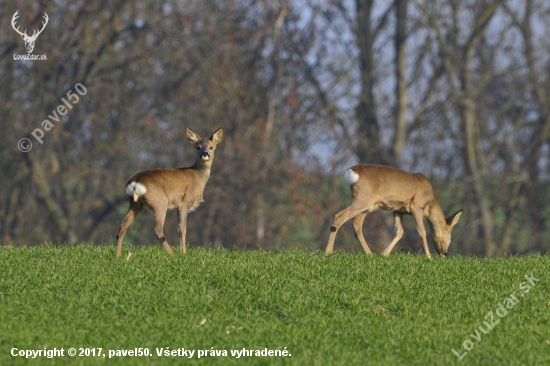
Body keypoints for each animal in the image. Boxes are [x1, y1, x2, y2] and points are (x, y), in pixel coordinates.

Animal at [116, 126, 224, 258]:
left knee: (123, 225)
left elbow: (180, 227)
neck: (197, 177)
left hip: (135, 203)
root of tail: (135, 182)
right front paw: (183, 253)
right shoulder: (184, 202)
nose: (205, 153)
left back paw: (117, 256)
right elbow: (182, 228)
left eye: (211, 147)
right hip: (160, 202)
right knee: (157, 228)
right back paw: (172, 253)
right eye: (197, 147)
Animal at [328, 164, 466, 258]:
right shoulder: (416, 206)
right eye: (450, 235)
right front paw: (429, 257)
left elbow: (400, 232)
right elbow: (422, 232)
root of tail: (350, 172)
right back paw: (328, 252)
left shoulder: (398, 210)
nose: (445, 253)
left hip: (364, 204)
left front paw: (384, 254)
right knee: (339, 217)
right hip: (362, 199)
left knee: (356, 225)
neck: (430, 203)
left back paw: (370, 254)